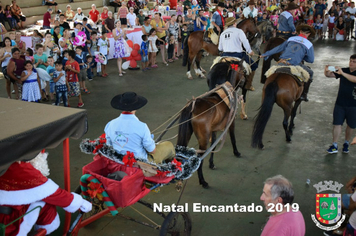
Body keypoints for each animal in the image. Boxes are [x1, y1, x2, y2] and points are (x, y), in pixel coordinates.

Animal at [177, 59, 246, 188]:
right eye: (243, 70)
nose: (244, 82)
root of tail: (192, 106)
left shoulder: (213, 130)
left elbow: (213, 144)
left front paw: (211, 163)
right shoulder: (231, 122)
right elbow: (233, 138)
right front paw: (236, 152)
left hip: (188, 133)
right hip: (203, 139)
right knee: (199, 158)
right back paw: (202, 181)